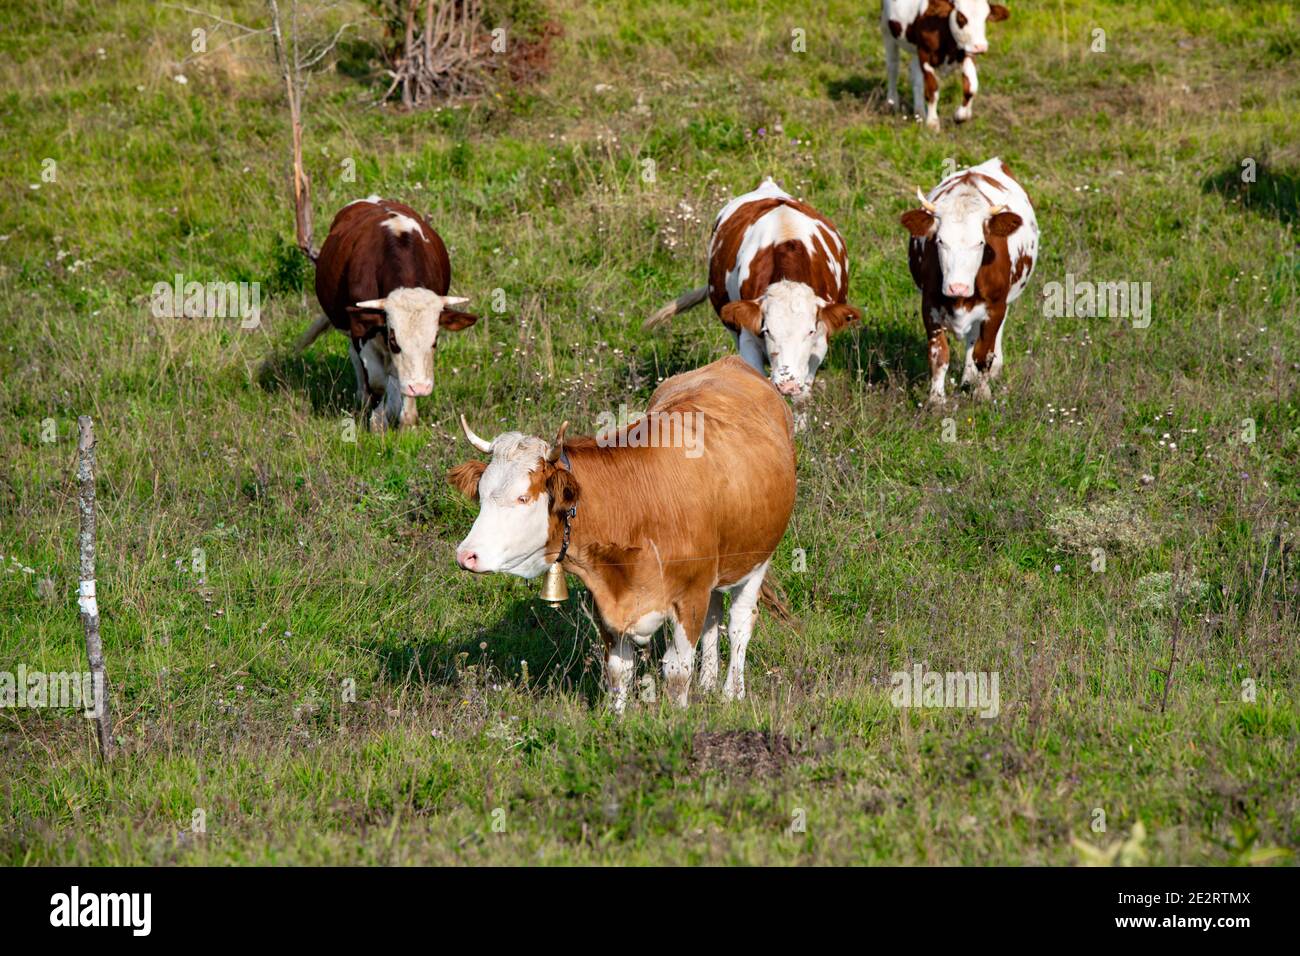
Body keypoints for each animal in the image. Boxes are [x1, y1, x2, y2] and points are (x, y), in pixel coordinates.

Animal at [295, 196, 478, 430]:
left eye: (435, 339)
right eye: (394, 340)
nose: (421, 387)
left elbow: (401, 381)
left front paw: (406, 422)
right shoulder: (363, 331)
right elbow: (377, 381)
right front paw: (378, 421)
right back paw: (364, 398)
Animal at [449, 356, 797, 712]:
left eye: (522, 497)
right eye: (481, 494)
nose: (466, 555)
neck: (637, 508)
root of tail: (732, 362)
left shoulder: (689, 597)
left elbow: (677, 671)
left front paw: (679, 717)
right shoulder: (607, 599)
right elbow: (618, 671)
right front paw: (615, 716)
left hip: (757, 558)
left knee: (740, 624)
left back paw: (731, 693)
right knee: (714, 618)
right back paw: (709, 682)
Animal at [645, 178, 862, 430]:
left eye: (809, 331)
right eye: (767, 330)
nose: (787, 384)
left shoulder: (819, 344)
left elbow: (802, 397)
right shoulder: (747, 337)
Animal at [881, 0, 1010, 131]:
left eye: (986, 17)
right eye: (961, 17)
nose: (980, 47)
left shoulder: (967, 53)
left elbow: (972, 87)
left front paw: (961, 116)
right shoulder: (925, 55)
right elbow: (932, 89)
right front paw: (932, 123)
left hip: (915, 51)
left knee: (917, 80)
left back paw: (920, 114)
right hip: (887, 32)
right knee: (893, 67)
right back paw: (891, 103)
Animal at [900, 157, 1038, 404]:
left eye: (980, 242)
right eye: (940, 240)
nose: (958, 287)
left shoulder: (995, 308)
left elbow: (984, 355)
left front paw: (982, 393)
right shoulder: (930, 306)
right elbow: (939, 356)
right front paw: (936, 400)